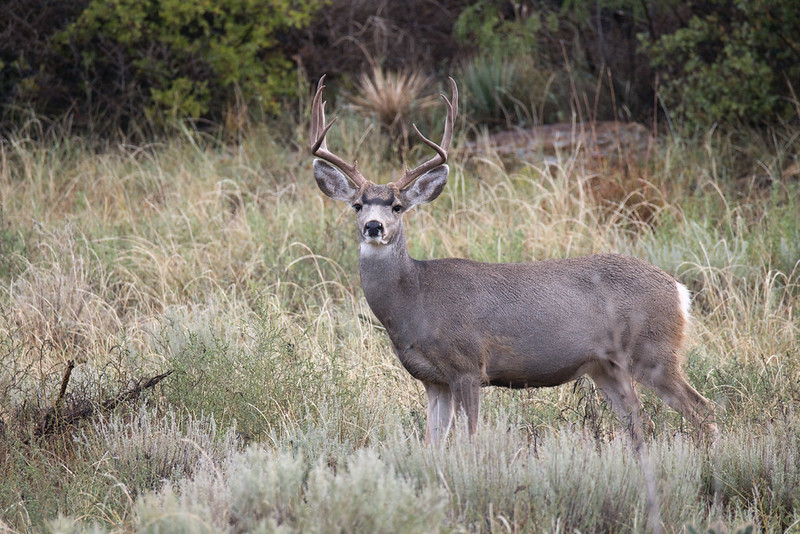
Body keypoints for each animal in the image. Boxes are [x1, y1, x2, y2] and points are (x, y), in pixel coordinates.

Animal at [309, 75, 718, 446]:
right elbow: (433, 444)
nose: (374, 226)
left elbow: (471, 438)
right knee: (638, 420)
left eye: (396, 206)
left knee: (703, 409)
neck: (414, 301)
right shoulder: (433, 379)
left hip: (653, 351)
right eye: (357, 204)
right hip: (606, 366)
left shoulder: (467, 365)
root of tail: (679, 290)